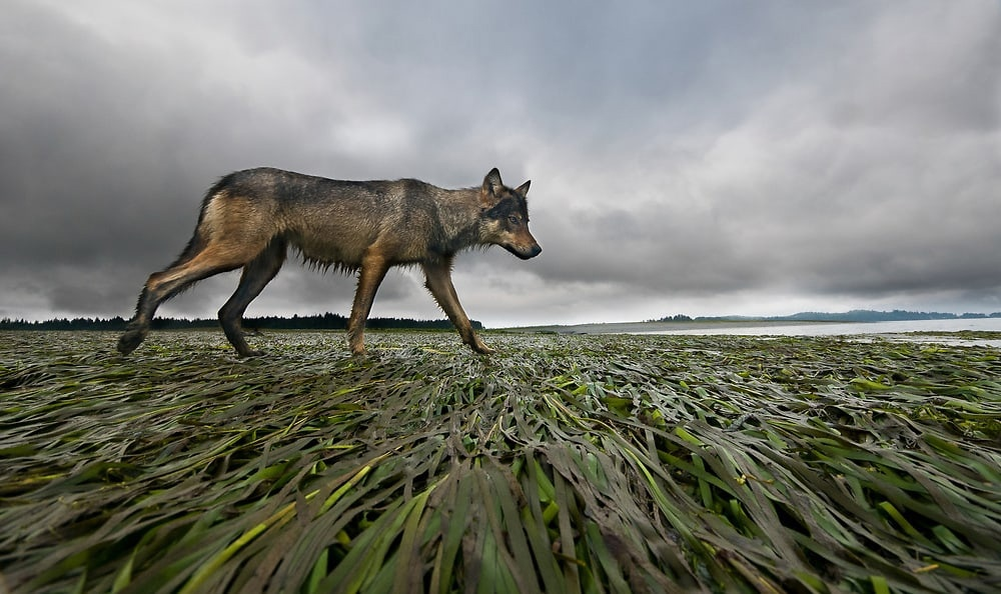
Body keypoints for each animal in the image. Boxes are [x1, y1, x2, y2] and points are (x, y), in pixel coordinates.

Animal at [116, 165, 540, 356]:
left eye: (527, 221)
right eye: (513, 220)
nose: (537, 251)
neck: (438, 213)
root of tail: (227, 178)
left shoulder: (436, 276)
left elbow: (463, 319)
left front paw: (485, 353)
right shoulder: (375, 260)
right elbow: (360, 314)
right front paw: (360, 355)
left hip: (263, 267)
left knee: (226, 311)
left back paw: (250, 356)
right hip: (235, 255)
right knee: (158, 279)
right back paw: (132, 337)